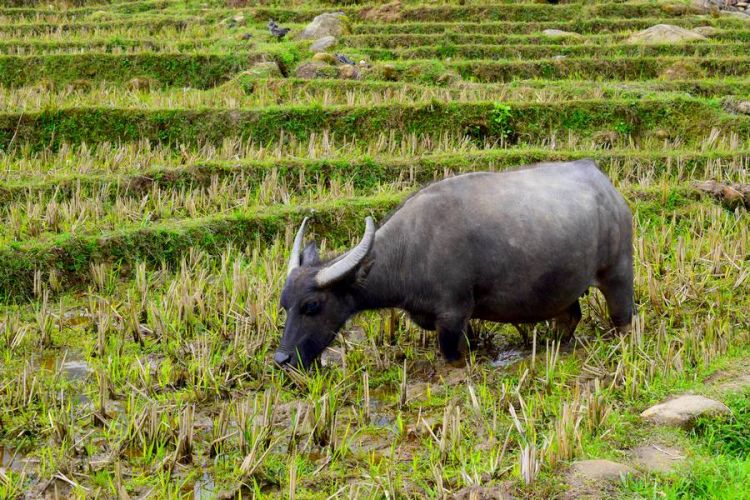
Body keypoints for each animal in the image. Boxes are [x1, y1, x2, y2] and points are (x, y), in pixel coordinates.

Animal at [276, 159, 636, 368]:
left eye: (312, 305)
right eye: (285, 305)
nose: (281, 358)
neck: (411, 249)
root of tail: (604, 184)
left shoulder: (452, 315)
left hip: (617, 273)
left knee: (623, 317)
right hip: (564, 287)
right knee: (569, 317)